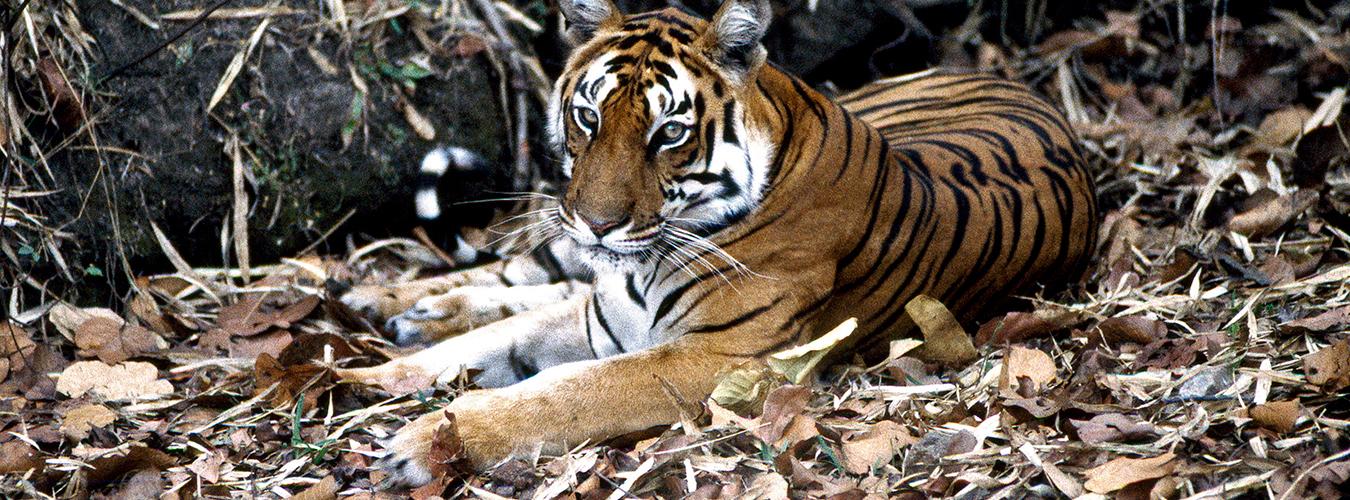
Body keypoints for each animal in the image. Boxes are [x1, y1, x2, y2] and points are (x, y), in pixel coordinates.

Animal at [337, 0, 1098, 488]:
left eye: (669, 133)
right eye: (587, 117)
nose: (596, 222)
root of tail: (996, 75)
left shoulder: (720, 359)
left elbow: (561, 393)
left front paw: (423, 441)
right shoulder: (607, 312)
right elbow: (490, 342)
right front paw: (369, 382)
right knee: (523, 268)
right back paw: (392, 301)